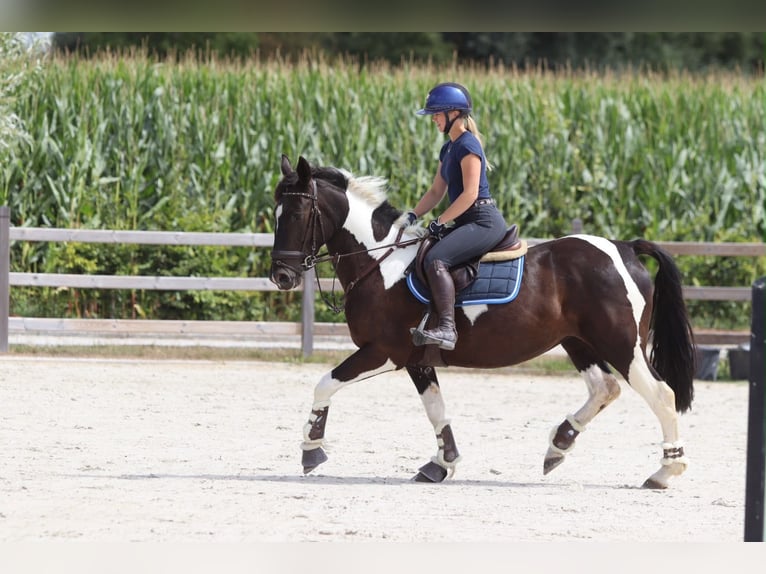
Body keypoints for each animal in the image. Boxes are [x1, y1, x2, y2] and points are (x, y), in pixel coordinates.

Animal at [269, 155, 696, 489]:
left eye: (297, 214)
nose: (281, 276)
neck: (381, 262)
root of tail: (625, 248)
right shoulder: (417, 359)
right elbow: (436, 410)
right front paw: (441, 464)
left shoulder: (383, 352)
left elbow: (325, 384)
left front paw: (311, 450)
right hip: (578, 342)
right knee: (604, 388)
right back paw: (558, 446)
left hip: (623, 345)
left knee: (662, 395)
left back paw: (665, 471)